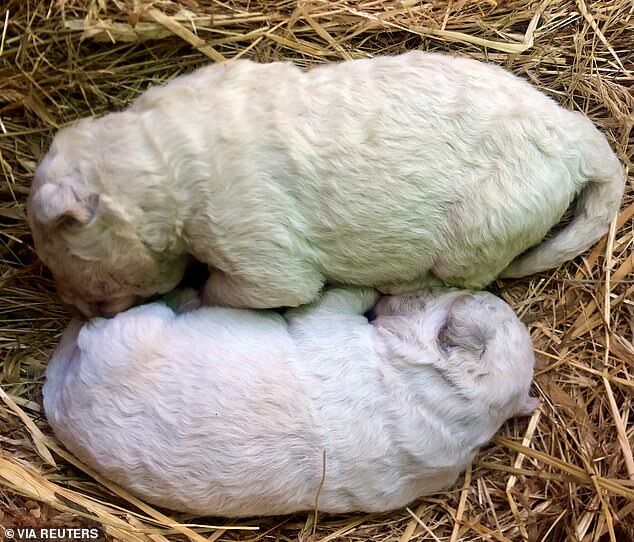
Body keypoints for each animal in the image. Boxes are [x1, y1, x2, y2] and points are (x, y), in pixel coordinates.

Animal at [25, 51, 624, 316]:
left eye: (60, 254)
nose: (85, 314)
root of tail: (578, 139)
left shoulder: (254, 244)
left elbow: (260, 289)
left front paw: (188, 296)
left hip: (484, 228)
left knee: (465, 279)